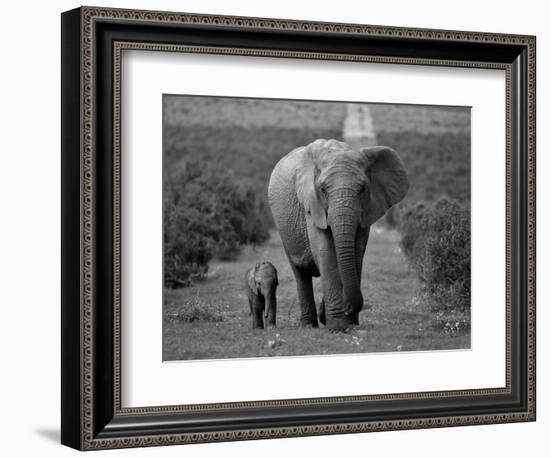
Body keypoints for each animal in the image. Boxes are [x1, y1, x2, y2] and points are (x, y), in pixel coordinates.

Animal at [268, 138, 410, 330]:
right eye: (323, 189)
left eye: (363, 189)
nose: (348, 307)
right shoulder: (312, 206)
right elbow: (327, 253)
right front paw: (338, 327)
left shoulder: (366, 211)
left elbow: (356, 254)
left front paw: (349, 323)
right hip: (284, 228)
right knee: (300, 273)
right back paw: (308, 325)